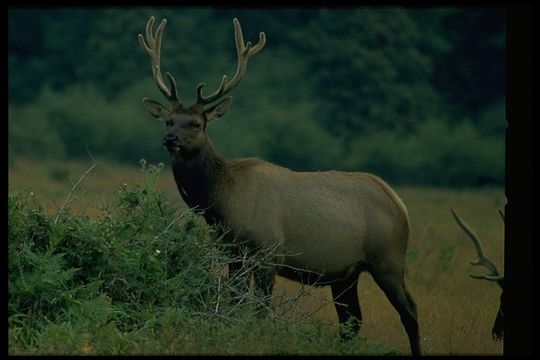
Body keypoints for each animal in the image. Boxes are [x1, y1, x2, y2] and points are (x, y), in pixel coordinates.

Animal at [138, 16, 422, 354]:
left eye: (196, 124)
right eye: (168, 120)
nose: (170, 138)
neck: (222, 201)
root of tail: (399, 203)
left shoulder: (266, 253)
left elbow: (260, 310)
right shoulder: (233, 253)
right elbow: (233, 303)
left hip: (388, 258)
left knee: (410, 310)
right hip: (346, 274)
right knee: (351, 321)